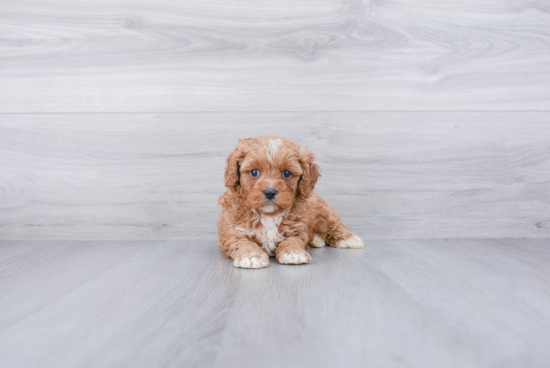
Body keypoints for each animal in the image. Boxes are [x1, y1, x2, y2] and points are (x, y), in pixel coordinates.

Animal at [218, 135, 364, 268]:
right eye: (254, 172)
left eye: (287, 173)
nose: (270, 192)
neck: (269, 214)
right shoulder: (235, 230)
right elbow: (242, 242)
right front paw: (251, 256)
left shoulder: (297, 229)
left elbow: (292, 241)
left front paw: (293, 253)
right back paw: (316, 240)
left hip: (323, 211)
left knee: (333, 223)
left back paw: (348, 239)